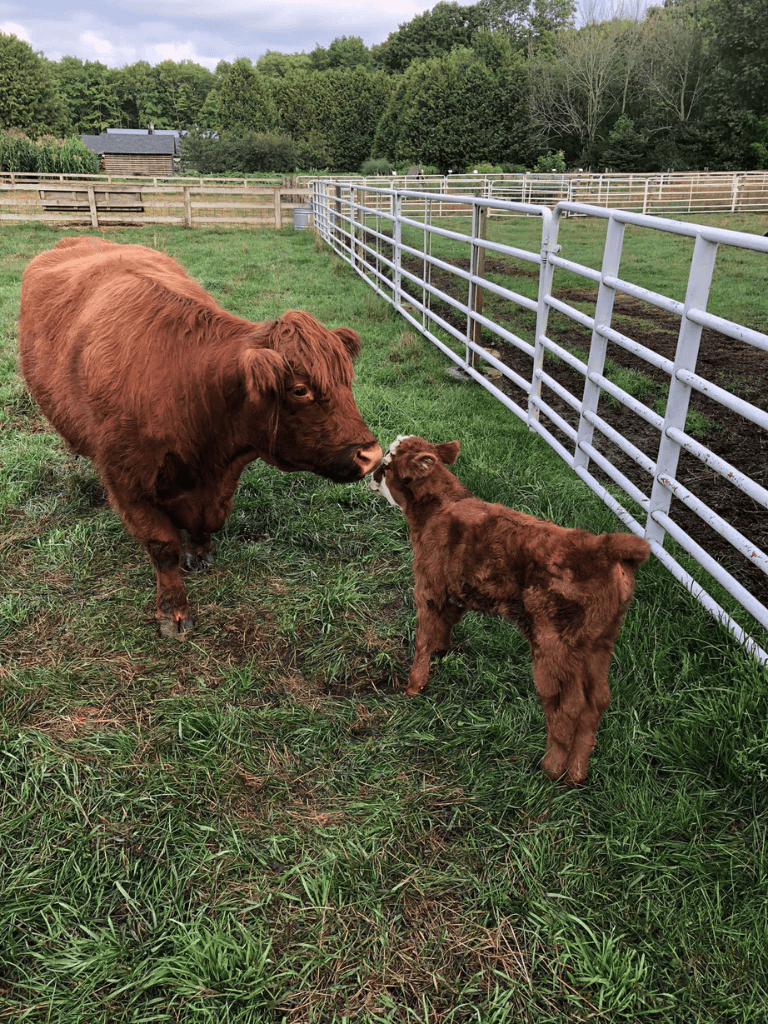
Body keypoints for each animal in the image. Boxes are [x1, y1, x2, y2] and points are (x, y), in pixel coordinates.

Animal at [19, 236, 382, 636]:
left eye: (347, 380)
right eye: (300, 390)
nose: (371, 455)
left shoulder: (220, 478)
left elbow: (209, 521)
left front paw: (201, 551)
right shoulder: (128, 483)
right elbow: (163, 546)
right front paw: (173, 610)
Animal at [370, 435, 650, 786]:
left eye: (387, 465)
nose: (370, 475)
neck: (441, 507)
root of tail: (600, 545)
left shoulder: (429, 588)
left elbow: (423, 639)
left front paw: (413, 686)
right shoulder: (454, 594)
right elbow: (444, 628)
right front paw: (442, 655)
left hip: (553, 645)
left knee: (566, 705)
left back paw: (551, 768)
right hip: (598, 645)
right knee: (596, 702)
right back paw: (575, 774)